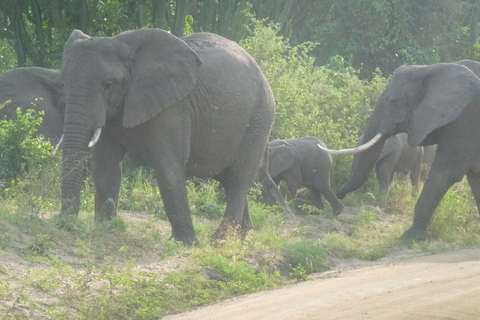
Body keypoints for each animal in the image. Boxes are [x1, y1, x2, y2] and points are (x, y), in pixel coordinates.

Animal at [57, 29, 278, 245]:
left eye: (108, 85)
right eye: (63, 83)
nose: (65, 222)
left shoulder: (173, 107)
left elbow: (168, 166)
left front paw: (184, 243)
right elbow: (105, 165)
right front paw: (106, 228)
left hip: (260, 118)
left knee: (240, 176)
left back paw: (219, 240)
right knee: (228, 178)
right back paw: (241, 237)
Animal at [316, 60, 480, 240]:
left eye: (393, 101)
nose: (340, 195)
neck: (431, 68)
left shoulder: (465, 120)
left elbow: (444, 174)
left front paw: (411, 237)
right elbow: (475, 179)